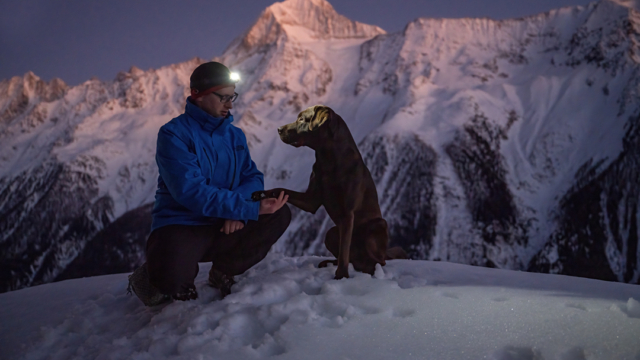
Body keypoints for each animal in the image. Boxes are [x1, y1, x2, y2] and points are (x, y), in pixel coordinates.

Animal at [250, 104, 404, 278]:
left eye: (302, 119)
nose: (279, 129)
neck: (328, 159)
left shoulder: (347, 213)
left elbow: (344, 249)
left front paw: (341, 276)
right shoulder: (310, 200)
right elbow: (281, 189)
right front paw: (260, 194)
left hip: (377, 225)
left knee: (377, 260)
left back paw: (369, 268)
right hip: (331, 233)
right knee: (350, 255)